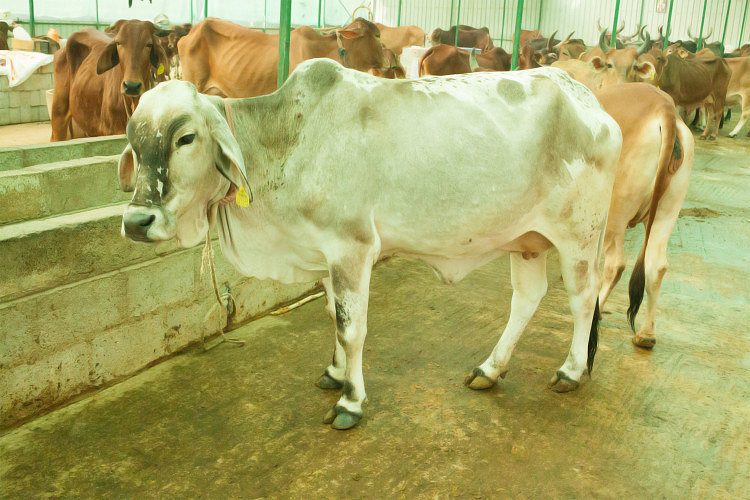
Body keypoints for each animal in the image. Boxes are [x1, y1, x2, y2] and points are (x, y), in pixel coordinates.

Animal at [118, 60, 622, 430]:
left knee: (582, 299)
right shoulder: (324, 257)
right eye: (133, 141)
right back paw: (489, 370)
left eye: (186, 137)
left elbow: (351, 328)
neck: (288, 140)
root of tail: (589, 100)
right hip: (527, 240)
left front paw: (350, 401)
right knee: (527, 298)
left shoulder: (352, 248)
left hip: (578, 235)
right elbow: (331, 316)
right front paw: (336, 373)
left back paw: (571, 372)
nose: (137, 221)